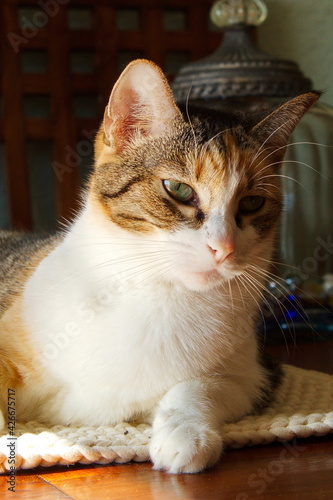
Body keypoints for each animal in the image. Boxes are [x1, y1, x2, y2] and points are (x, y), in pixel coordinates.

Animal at [0, 59, 318, 472]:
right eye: (178, 189)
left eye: (251, 203)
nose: (223, 248)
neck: (156, 290)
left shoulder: (256, 373)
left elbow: (202, 384)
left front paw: (186, 434)